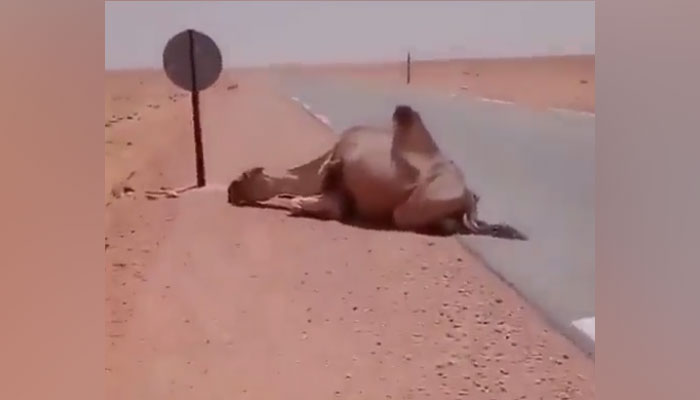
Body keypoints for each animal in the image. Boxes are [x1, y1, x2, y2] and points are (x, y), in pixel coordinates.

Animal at [227, 105, 526, 240]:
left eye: (246, 176)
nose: (232, 190)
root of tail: (468, 194)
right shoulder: (339, 188)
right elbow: (333, 203)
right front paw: (299, 202)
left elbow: (331, 202)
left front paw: (298, 203)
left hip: (417, 205)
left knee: (407, 215)